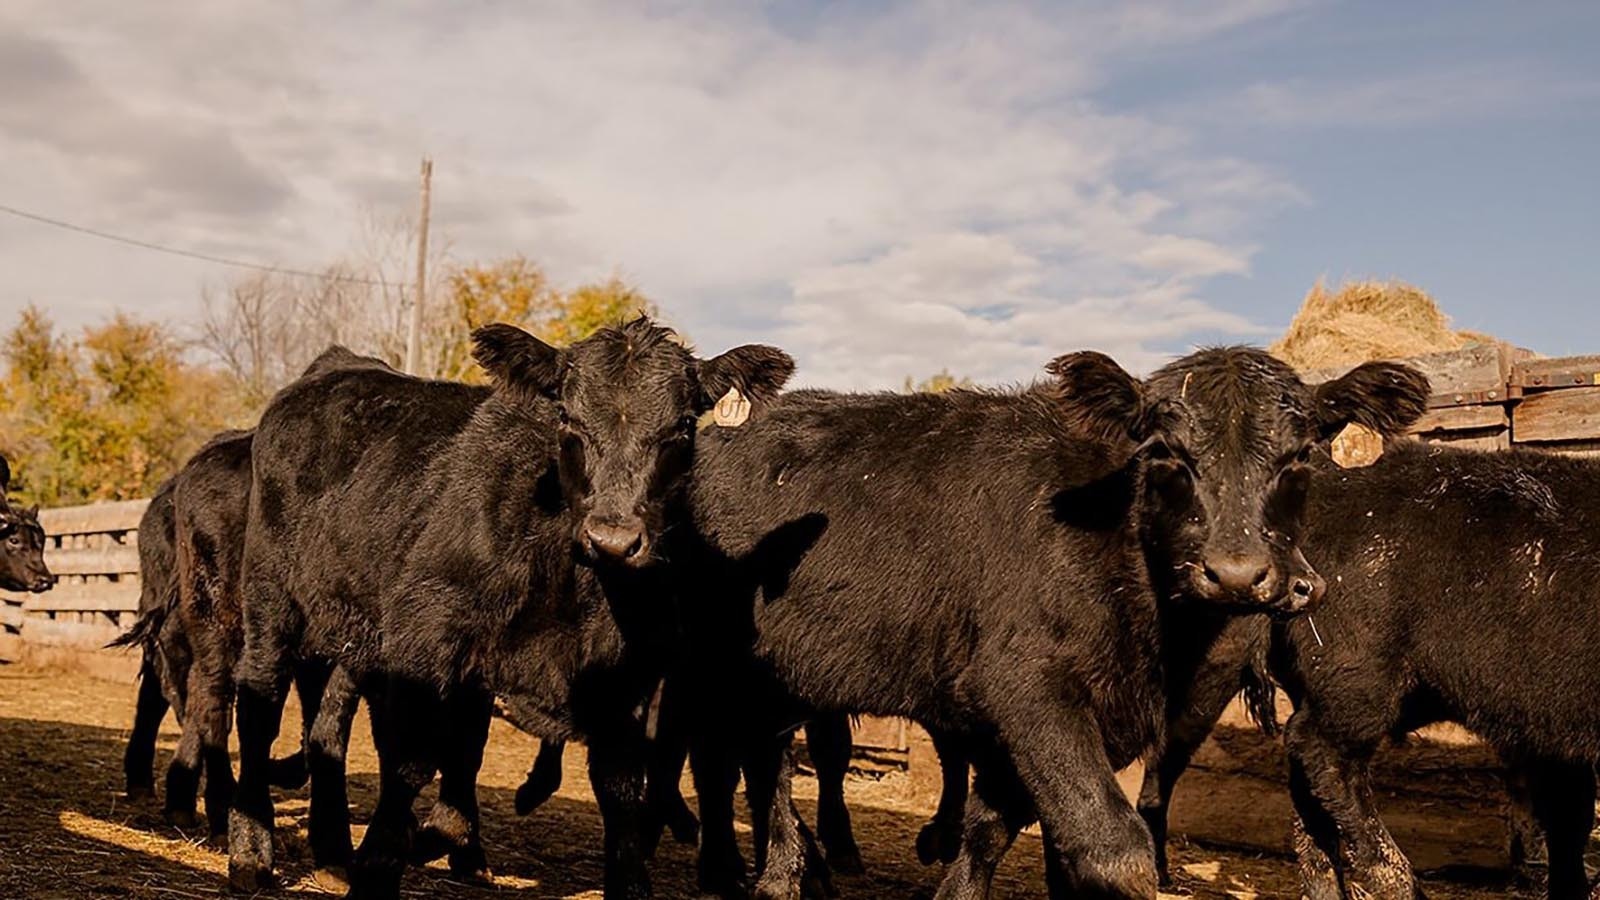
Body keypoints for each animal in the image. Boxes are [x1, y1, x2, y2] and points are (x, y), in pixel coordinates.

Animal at [227, 318, 793, 890]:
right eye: (566, 417)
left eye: (682, 425)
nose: (613, 539)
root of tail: (339, 364)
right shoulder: (424, 635)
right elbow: (413, 756)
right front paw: (385, 862)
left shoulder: (627, 677)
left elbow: (617, 784)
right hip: (270, 596)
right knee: (259, 703)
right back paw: (252, 852)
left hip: (353, 628)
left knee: (328, 725)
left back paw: (334, 850)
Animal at [681, 344, 1420, 896]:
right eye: (1166, 453)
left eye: (1300, 457)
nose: (1237, 573)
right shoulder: (1028, 688)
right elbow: (1111, 848)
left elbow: (1000, 830)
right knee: (737, 758)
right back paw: (760, 870)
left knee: (760, 757)